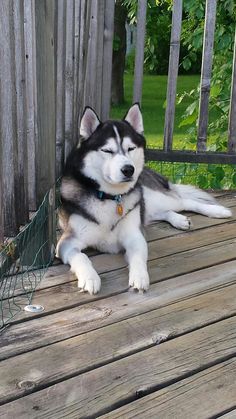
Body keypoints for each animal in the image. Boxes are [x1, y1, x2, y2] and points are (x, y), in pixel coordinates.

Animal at [56, 104, 231, 296]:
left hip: (151, 196)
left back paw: (217, 211)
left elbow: (139, 257)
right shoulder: (67, 243)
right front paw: (90, 278)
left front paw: (139, 277)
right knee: (159, 212)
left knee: (184, 201)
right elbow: (81, 256)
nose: (128, 169)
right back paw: (179, 219)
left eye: (131, 148)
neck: (109, 197)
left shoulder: (135, 236)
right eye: (107, 150)